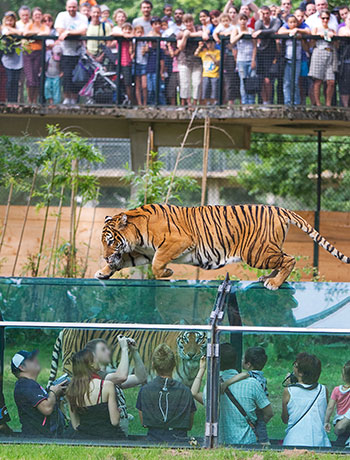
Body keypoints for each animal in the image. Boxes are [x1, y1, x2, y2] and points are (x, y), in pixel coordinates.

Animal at [47, 328, 206, 388]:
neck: (190, 368)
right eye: (186, 340)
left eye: (199, 340)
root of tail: (66, 328)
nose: (191, 354)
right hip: (71, 368)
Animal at [95, 203, 350, 290]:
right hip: (267, 249)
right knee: (284, 258)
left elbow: (158, 263)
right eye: (104, 243)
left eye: (110, 241)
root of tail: (280, 209)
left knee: (290, 259)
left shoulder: (178, 242)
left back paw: (274, 284)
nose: (105, 257)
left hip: (256, 252)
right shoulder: (142, 253)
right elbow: (126, 260)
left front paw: (167, 272)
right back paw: (268, 278)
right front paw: (104, 272)